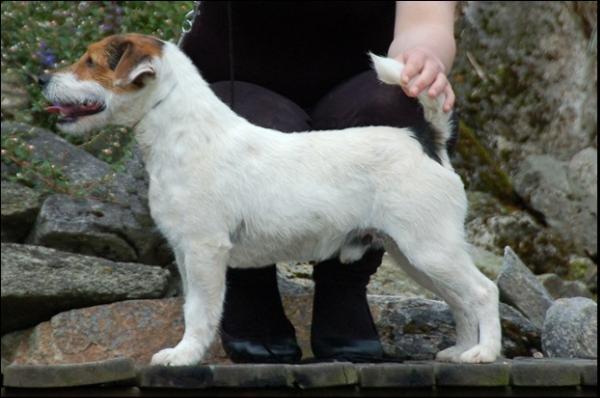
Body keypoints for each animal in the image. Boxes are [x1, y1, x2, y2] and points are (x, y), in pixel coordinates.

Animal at [42, 33, 502, 364]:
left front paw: (184, 355)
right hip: (414, 255)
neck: (185, 134)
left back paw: (484, 353)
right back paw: (461, 350)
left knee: (483, 292)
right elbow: (192, 304)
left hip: (430, 249)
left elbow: (199, 310)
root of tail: (426, 140)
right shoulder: (184, 251)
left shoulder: (204, 249)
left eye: (90, 61)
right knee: (459, 301)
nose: (44, 78)